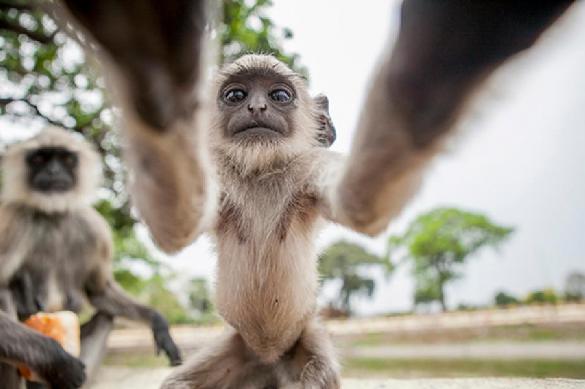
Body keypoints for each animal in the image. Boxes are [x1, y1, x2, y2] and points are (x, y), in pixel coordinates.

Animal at [0, 127, 182, 388]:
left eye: (66, 159)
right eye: (40, 159)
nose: (53, 172)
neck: (53, 214)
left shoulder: (95, 228)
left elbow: (99, 291)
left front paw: (158, 322)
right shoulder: (12, 219)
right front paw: (59, 360)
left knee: (107, 316)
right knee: (4, 292)